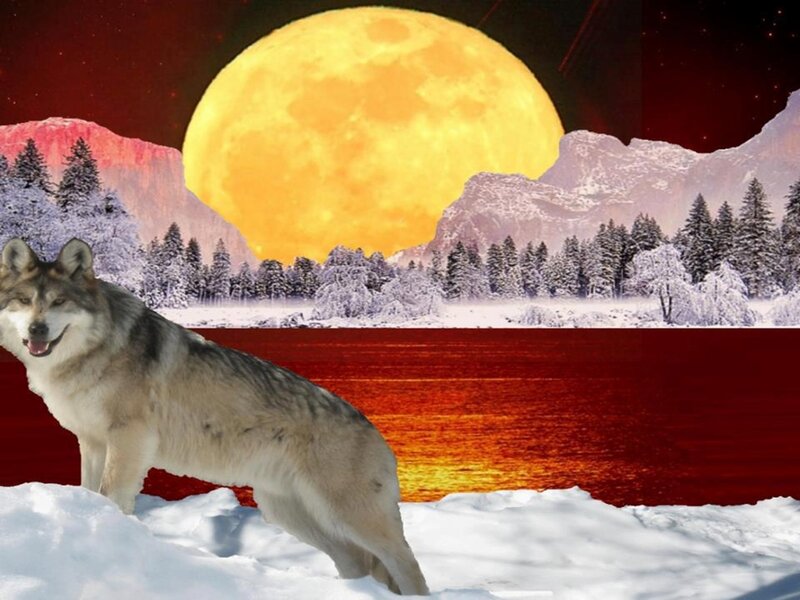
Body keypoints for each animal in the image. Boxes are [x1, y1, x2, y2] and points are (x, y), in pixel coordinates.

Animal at [0, 238, 429, 596]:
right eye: (23, 300)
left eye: (59, 302)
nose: (38, 330)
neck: (93, 352)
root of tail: (374, 429)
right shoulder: (91, 442)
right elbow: (91, 492)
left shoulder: (128, 440)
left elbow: (111, 494)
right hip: (290, 513)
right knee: (358, 563)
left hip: (351, 518)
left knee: (409, 567)